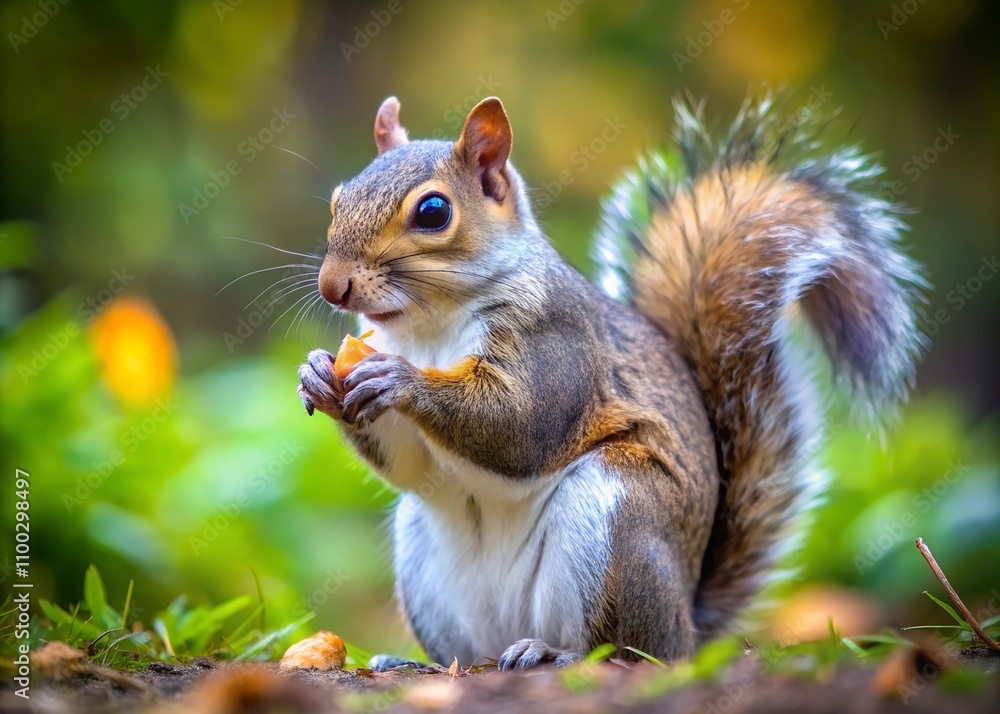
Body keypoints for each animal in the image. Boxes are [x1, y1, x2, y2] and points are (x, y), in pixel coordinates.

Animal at [296, 94, 925, 670]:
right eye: (336, 201)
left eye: (432, 212)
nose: (333, 287)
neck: (429, 328)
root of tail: (689, 627)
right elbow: (408, 464)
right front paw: (317, 374)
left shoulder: (559, 345)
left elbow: (522, 429)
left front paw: (400, 379)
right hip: (425, 556)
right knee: (468, 653)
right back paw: (419, 664)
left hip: (615, 513)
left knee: (624, 651)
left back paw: (555, 654)